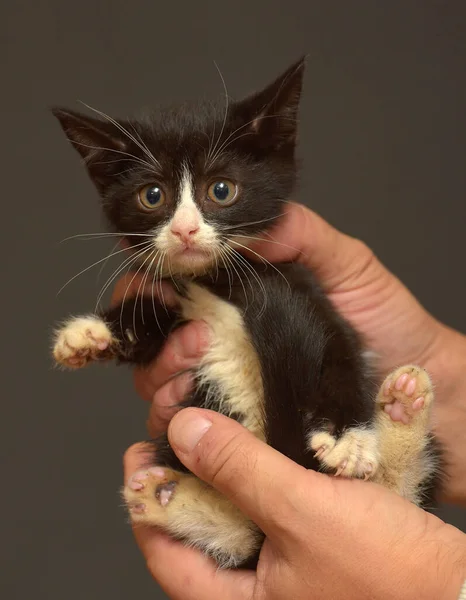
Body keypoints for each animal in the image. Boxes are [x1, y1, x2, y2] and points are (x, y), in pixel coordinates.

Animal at [51, 58, 440, 568]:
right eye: (152, 196)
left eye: (221, 189)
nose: (185, 230)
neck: (221, 283)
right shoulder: (183, 310)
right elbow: (152, 321)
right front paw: (91, 333)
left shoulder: (309, 291)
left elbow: (342, 354)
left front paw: (349, 438)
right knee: (238, 539)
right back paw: (163, 498)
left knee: (399, 489)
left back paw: (401, 410)